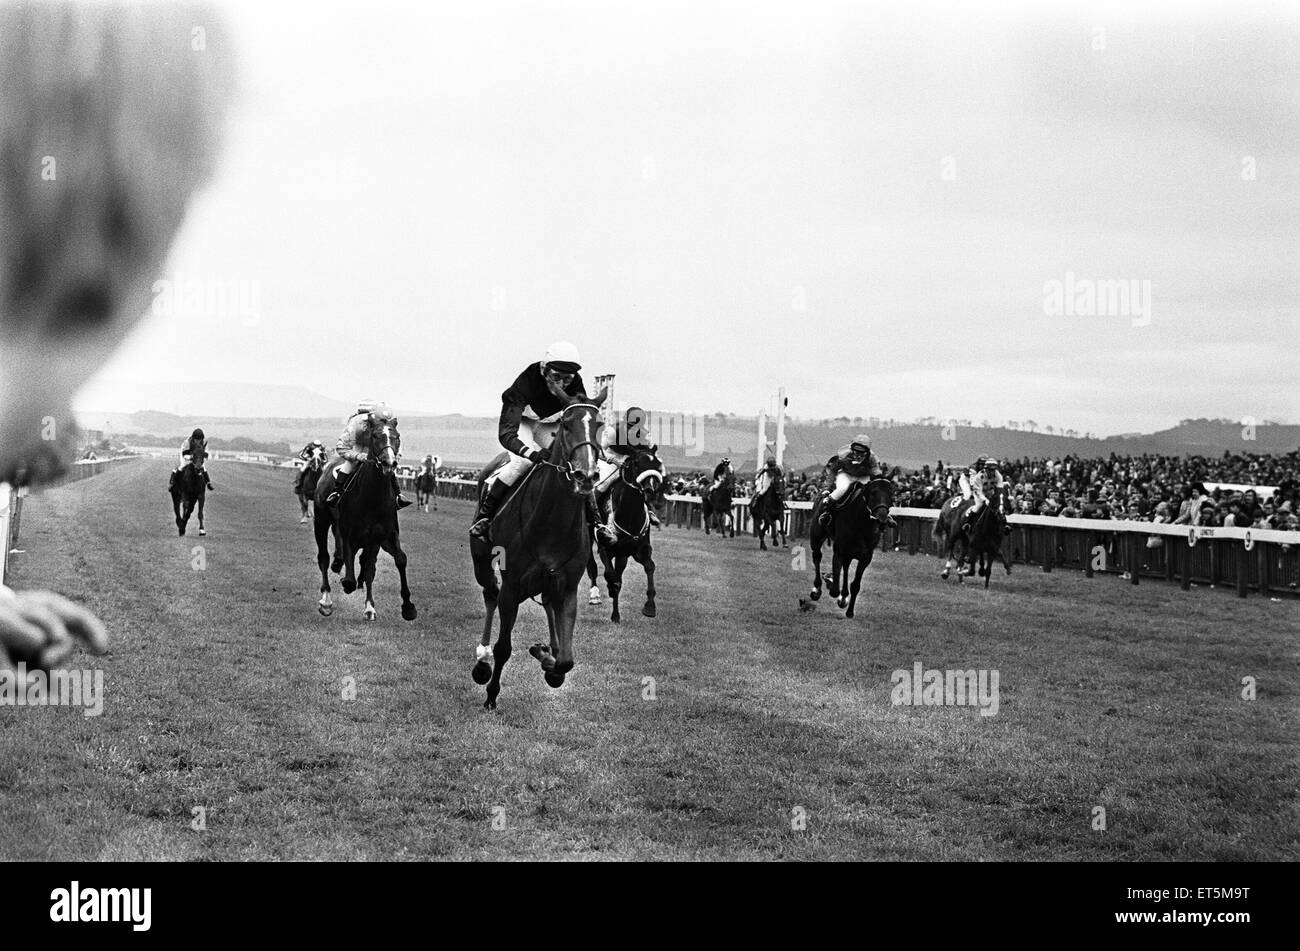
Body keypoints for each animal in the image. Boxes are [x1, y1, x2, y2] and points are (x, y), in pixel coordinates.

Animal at [310, 420, 416, 621]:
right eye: (375, 436)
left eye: (397, 436)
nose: (389, 462)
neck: (372, 497)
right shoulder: (349, 535)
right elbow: (350, 577)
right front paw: (346, 584)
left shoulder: (382, 536)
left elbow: (394, 561)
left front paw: (405, 607)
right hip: (321, 520)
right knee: (324, 558)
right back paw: (326, 600)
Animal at [473, 400, 603, 706]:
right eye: (566, 424)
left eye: (599, 424)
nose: (586, 475)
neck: (553, 520)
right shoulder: (512, 586)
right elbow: (503, 647)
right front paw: (491, 695)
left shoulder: (567, 587)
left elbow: (566, 659)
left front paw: (548, 659)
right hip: (482, 562)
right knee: (490, 594)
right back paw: (482, 660)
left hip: (548, 583)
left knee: (546, 605)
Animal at [590, 446, 670, 621]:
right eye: (637, 463)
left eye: (657, 463)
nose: (650, 488)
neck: (629, 514)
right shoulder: (605, 547)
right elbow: (610, 575)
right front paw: (610, 588)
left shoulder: (638, 550)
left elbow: (650, 567)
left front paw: (650, 606)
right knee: (592, 566)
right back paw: (595, 595)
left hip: (622, 555)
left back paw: (615, 615)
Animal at [800, 478, 894, 621]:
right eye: (873, 493)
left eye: (890, 494)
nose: (882, 518)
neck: (861, 523)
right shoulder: (839, 551)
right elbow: (834, 589)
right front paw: (830, 581)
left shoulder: (866, 557)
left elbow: (855, 585)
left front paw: (849, 610)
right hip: (816, 538)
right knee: (817, 557)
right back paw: (817, 589)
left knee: (845, 568)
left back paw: (843, 595)